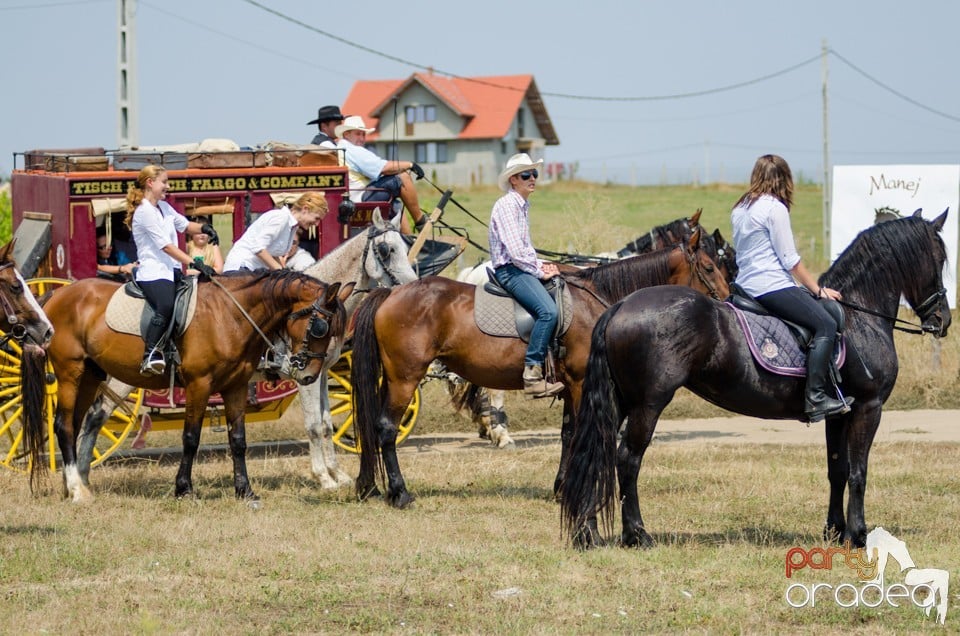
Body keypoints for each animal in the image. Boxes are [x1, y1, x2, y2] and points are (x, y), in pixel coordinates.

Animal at [24, 268, 350, 502]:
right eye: (320, 327)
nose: (309, 376)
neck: (230, 314)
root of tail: (60, 293)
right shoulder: (199, 385)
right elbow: (191, 438)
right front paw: (184, 489)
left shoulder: (236, 387)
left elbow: (238, 440)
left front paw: (244, 490)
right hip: (70, 373)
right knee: (64, 425)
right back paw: (77, 490)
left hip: (91, 375)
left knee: (76, 424)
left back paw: (74, 485)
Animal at [348, 229, 732, 506]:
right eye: (709, 268)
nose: (728, 303)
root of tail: (391, 294)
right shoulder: (580, 383)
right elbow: (578, 432)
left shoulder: (570, 386)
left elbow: (567, 433)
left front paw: (562, 487)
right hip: (405, 378)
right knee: (386, 428)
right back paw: (399, 493)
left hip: (391, 378)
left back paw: (371, 486)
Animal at [564, 211, 952, 548]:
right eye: (939, 260)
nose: (943, 320)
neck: (859, 316)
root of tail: (620, 306)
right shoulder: (869, 407)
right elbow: (859, 471)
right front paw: (857, 535)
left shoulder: (840, 413)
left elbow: (837, 470)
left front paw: (834, 530)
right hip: (648, 403)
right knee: (627, 459)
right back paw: (637, 534)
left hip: (618, 401)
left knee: (597, 453)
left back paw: (589, 533)